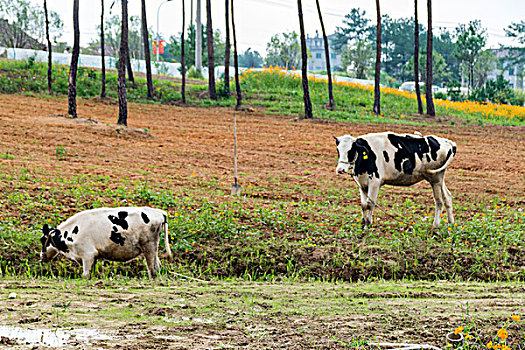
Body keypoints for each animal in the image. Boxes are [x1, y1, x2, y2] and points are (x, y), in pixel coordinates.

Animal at [41, 208, 172, 278]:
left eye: (42, 240)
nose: (41, 257)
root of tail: (159, 212)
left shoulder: (88, 254)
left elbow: (85, 274)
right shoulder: (93, 257)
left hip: (149, 247)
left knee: (152, 269)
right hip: (152, 249)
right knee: (158, 266)